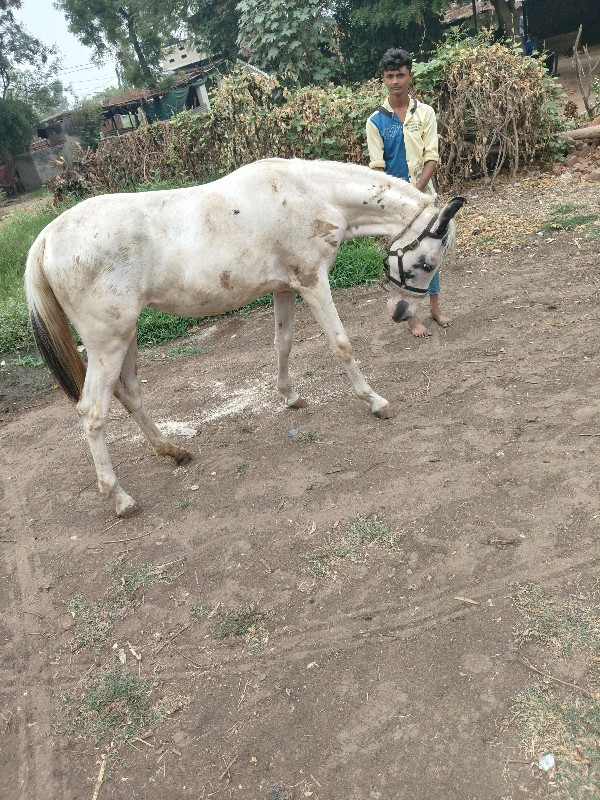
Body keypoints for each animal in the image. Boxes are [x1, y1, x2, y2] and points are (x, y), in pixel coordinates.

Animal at [24, 158, 464, 520]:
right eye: (428, 261)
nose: (402, 312)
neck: (309, 192)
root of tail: (46, 238)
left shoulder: (285, 288)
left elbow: (283, 343)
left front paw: (290, 397)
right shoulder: (312, 282)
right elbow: (341, 345)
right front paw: (376, 402)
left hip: (125, 335)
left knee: (129, 393)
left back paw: (173, 452)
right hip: (108, 342)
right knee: (93, 411)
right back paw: (120, 498)